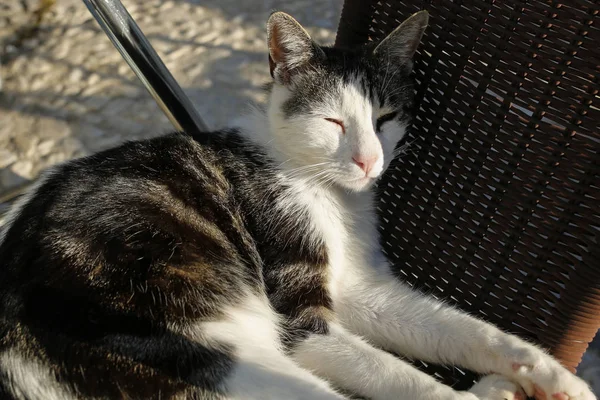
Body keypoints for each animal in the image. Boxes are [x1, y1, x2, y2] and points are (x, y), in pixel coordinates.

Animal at [0, 10, 596, 400]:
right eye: (333, 121)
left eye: (385, 118)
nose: (367, 161)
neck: (327, 194)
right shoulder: (301, 318)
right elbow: (400, 376)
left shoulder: (361, 290)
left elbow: (464, 329)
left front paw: (554, 376)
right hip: (214, 355)